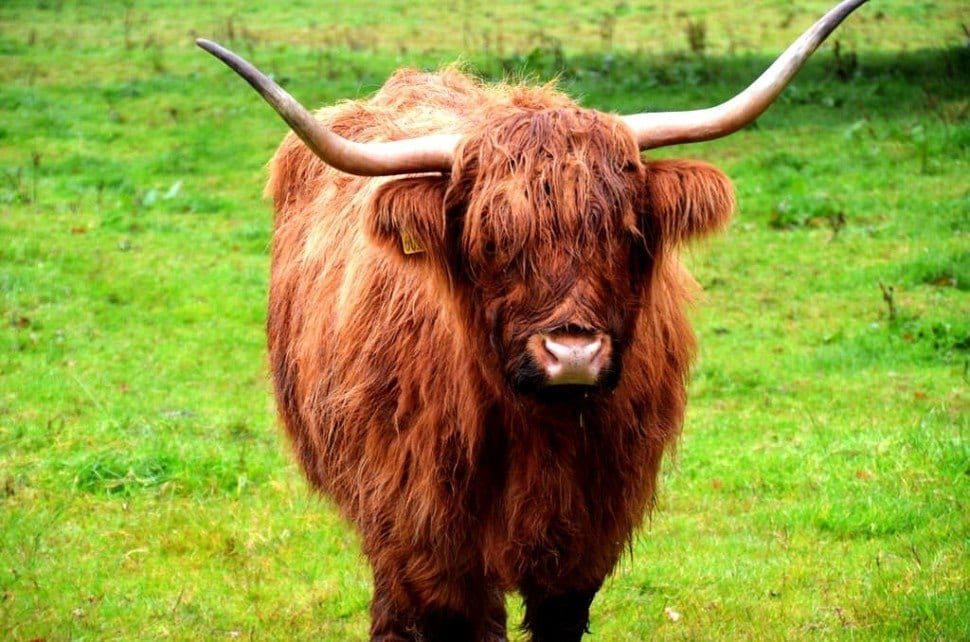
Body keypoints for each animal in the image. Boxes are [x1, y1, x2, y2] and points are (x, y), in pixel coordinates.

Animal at [198, 1, 867, 639]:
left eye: (626, 233)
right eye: (491, 240)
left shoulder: (590, 533)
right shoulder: (427, 529)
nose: (572, 354)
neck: (538, 432)